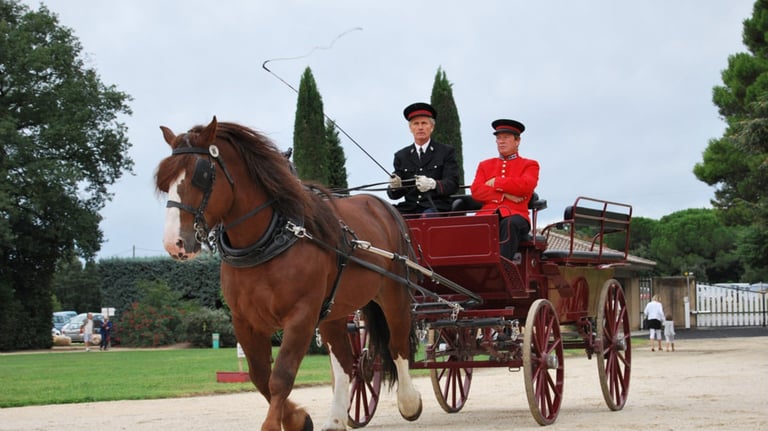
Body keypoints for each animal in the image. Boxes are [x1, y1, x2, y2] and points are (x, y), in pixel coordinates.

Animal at [154, 117, 422, 431]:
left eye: (202, 174)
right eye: (165, 181)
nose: (174, 243)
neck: (271, 239)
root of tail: (381, 206)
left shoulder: (301, 316)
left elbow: (281, 376)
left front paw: (278, 424)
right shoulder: (245, 321)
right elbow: (260, 376)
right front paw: (298, 419)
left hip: (395, 293)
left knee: (398, 344)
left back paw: (409, 402)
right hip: (334, 312)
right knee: (346, 361)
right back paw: (336, 418)